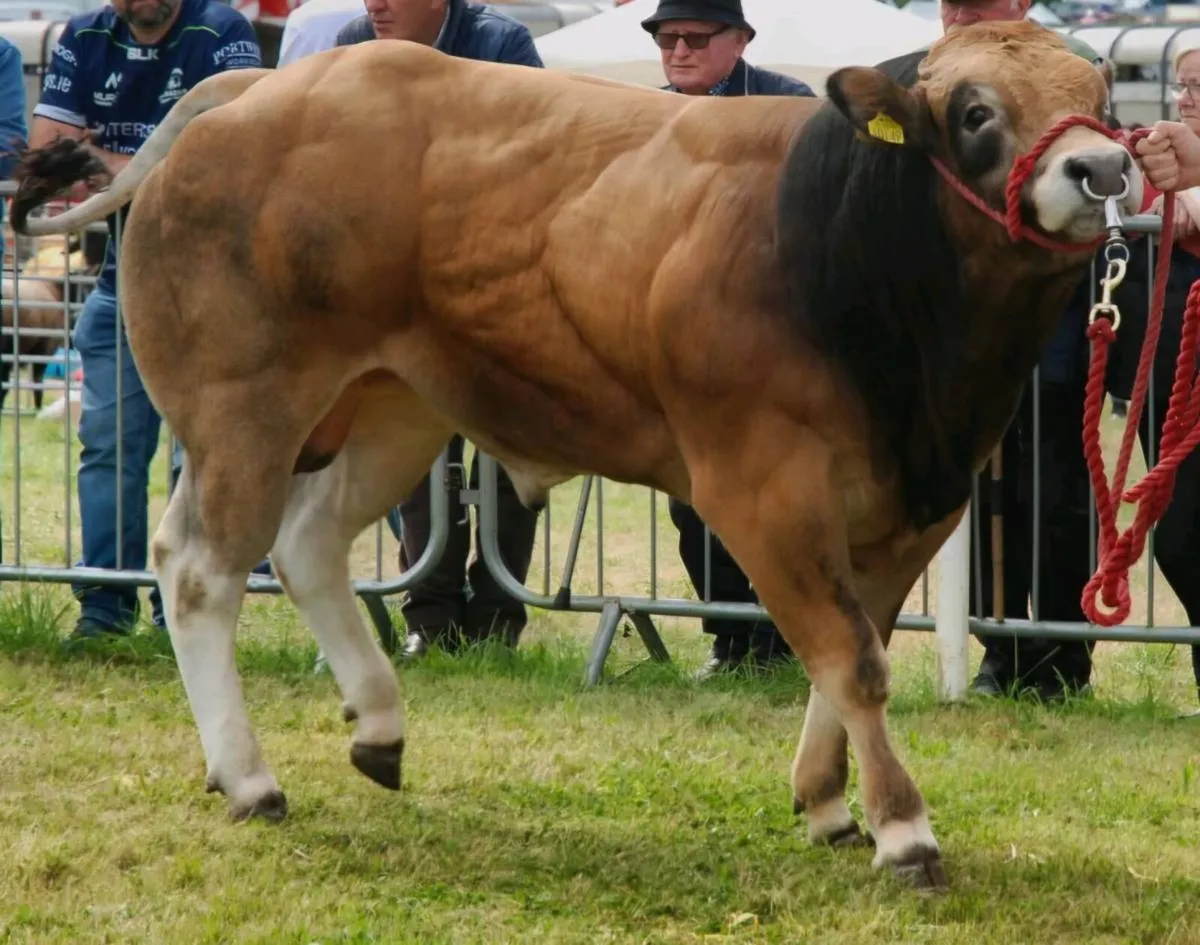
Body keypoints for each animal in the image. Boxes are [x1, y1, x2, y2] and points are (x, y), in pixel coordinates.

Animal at [9, 20, 1145, 891]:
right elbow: (854, 660)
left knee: (309, 545)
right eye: (976, 111)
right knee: (199, 570)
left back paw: (377, 724)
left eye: (1098, 94)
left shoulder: (920, 501)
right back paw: (250, 778)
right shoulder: (764, 489)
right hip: (242, 409)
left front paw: (828, 802)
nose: (1101, 168)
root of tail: (255, 86)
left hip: (393, 407)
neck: (839, 249)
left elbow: (846, 652)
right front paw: (905, 830)